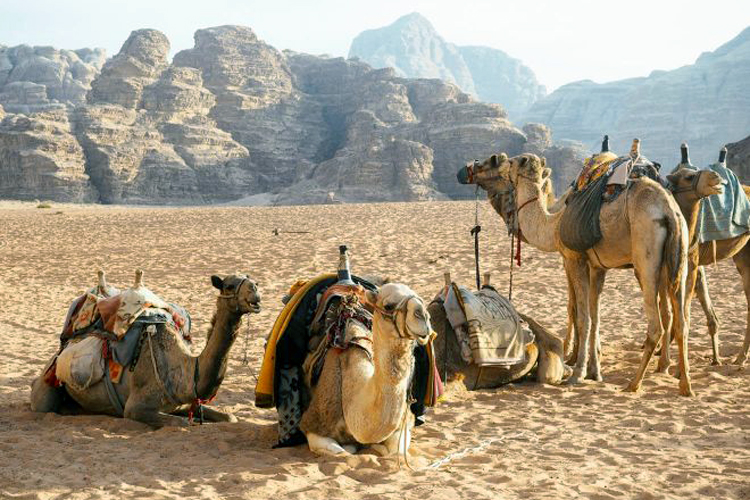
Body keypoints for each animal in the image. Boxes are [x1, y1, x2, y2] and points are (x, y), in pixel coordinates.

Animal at [29, 272, 262, 428]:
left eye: (255, 282)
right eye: (229, 285)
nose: (256, 293)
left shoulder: (182, 404)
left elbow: (230, 417)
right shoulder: (135, 407)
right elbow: (184, 424)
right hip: (46, 389)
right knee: (44, 406)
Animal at [298, 284, 428, 456]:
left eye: (419, 297)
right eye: (388, 306)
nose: (423, 316)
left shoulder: (404, 423)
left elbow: (396, 451)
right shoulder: (313, 425)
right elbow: (342, 451)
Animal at [462, 151, 696, 394]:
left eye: (501, 161)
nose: (471, 168)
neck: (554, 223)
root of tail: (667, 210)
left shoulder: (575, 259)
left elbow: (583, 317)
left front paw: (578, 373)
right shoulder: (598, 267)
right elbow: (595, 316)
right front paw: (595, 371)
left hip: (646, 255)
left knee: (656, 324)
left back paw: (634, 383)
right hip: (678, 257)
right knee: (681, 322)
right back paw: (685, 384)